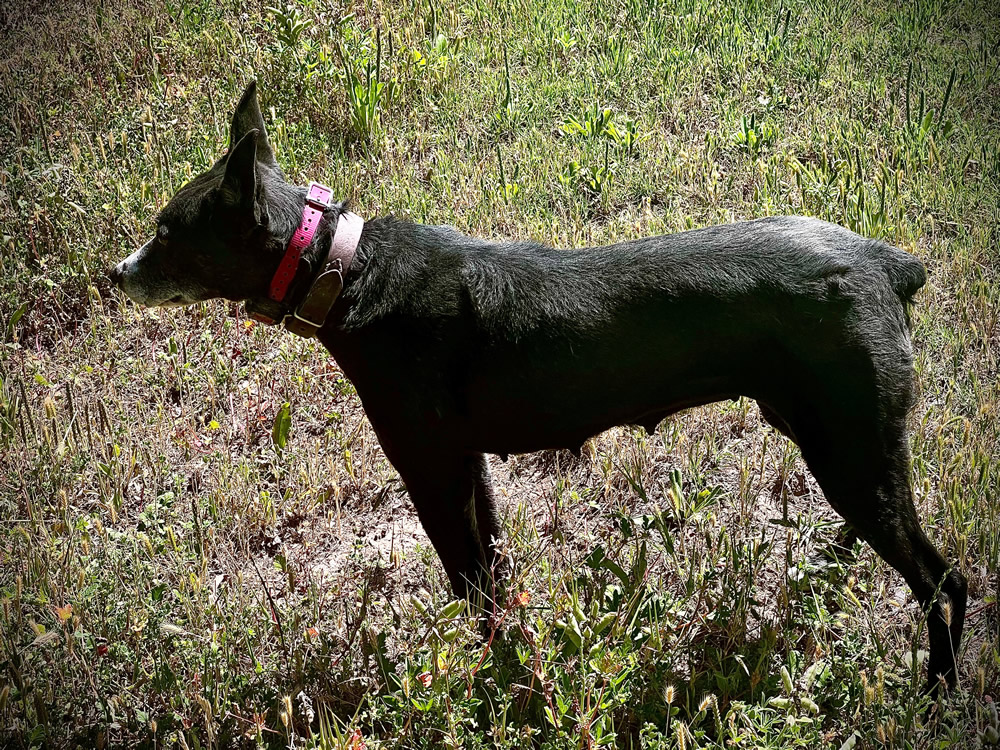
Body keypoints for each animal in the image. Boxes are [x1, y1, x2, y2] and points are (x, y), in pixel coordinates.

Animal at [113, 81, 964, 692]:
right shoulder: (468, 467)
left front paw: (488, 683)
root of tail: (889, 263)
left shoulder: (429, 470)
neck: (344, 269)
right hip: (833, 439)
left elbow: (469, 587)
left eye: (166, 232)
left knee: (945, 581)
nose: (114, 274)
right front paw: (514, 666)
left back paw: (937, 693)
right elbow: (494, 583)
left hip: (853, 451)